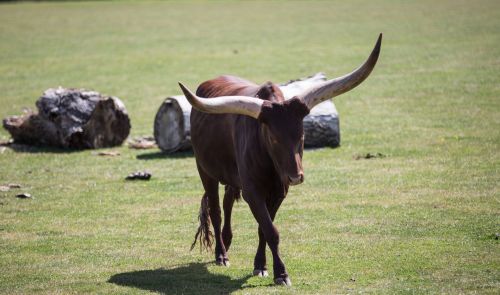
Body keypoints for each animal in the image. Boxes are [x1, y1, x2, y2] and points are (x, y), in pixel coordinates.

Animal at [180, 33, 382, 286]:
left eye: (302, 136)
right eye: (274, 138)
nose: (296, 177)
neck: (272, 164)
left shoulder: (279, 192)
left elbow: (264, 229)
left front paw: (261, 266)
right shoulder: (253, 191)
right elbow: (270, 230)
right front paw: (282, 274)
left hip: (233, 176)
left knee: (227, 203)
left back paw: (227, 240)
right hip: (205, 170)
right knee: (216, 211)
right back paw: (221, 254)